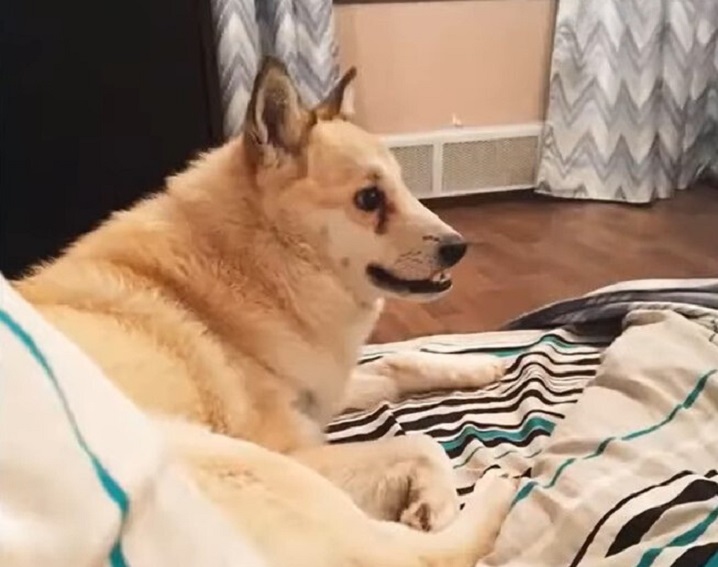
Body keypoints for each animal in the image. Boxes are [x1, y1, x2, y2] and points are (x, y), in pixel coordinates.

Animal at [14, 58, 516, 567]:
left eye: (402, 186)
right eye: (369, 199)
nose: (459, 248)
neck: (262, 266)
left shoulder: (321, 393)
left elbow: (399, 361)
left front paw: (479, 367)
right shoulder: (296, 447)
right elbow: (422, 443)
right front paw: (437, 500)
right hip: (241, 464)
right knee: (406, 552)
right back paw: (500, 487)